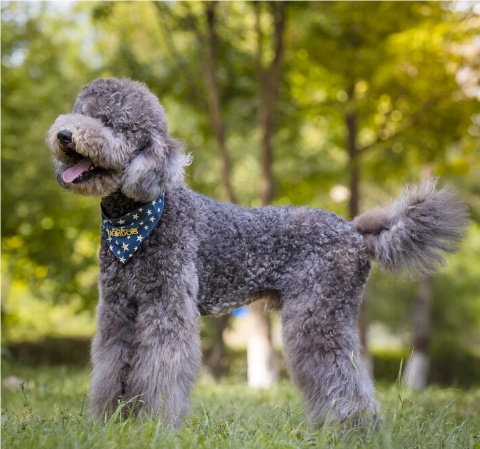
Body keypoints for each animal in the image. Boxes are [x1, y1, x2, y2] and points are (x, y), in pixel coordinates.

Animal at [46, 77, 467, 428]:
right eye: (81, 111)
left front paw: (154, 426)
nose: (64, 134)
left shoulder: (166, 308)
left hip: (319, 317)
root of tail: (354, 231)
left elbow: (159, 370)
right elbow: (111, 366)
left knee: (343, 375)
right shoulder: (118, 309)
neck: (137, 218)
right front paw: (112, 424)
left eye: (110, 123)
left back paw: (354, 428)